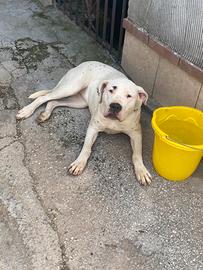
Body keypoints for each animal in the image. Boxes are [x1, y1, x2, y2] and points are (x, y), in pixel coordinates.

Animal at [16, 61, 151, 185]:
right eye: (111, 90)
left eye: (129, 96)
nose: (115, 106)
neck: (114, 121)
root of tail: (83, 63)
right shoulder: (93, 128)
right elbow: (86, 147)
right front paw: (79, 163)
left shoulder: (136, 133)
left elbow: (137, 154)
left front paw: (142, 171)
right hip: (70, 88)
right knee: (44, 97)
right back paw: (26, 111)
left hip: (78, 102)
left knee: (53, 102)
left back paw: (45, 114)